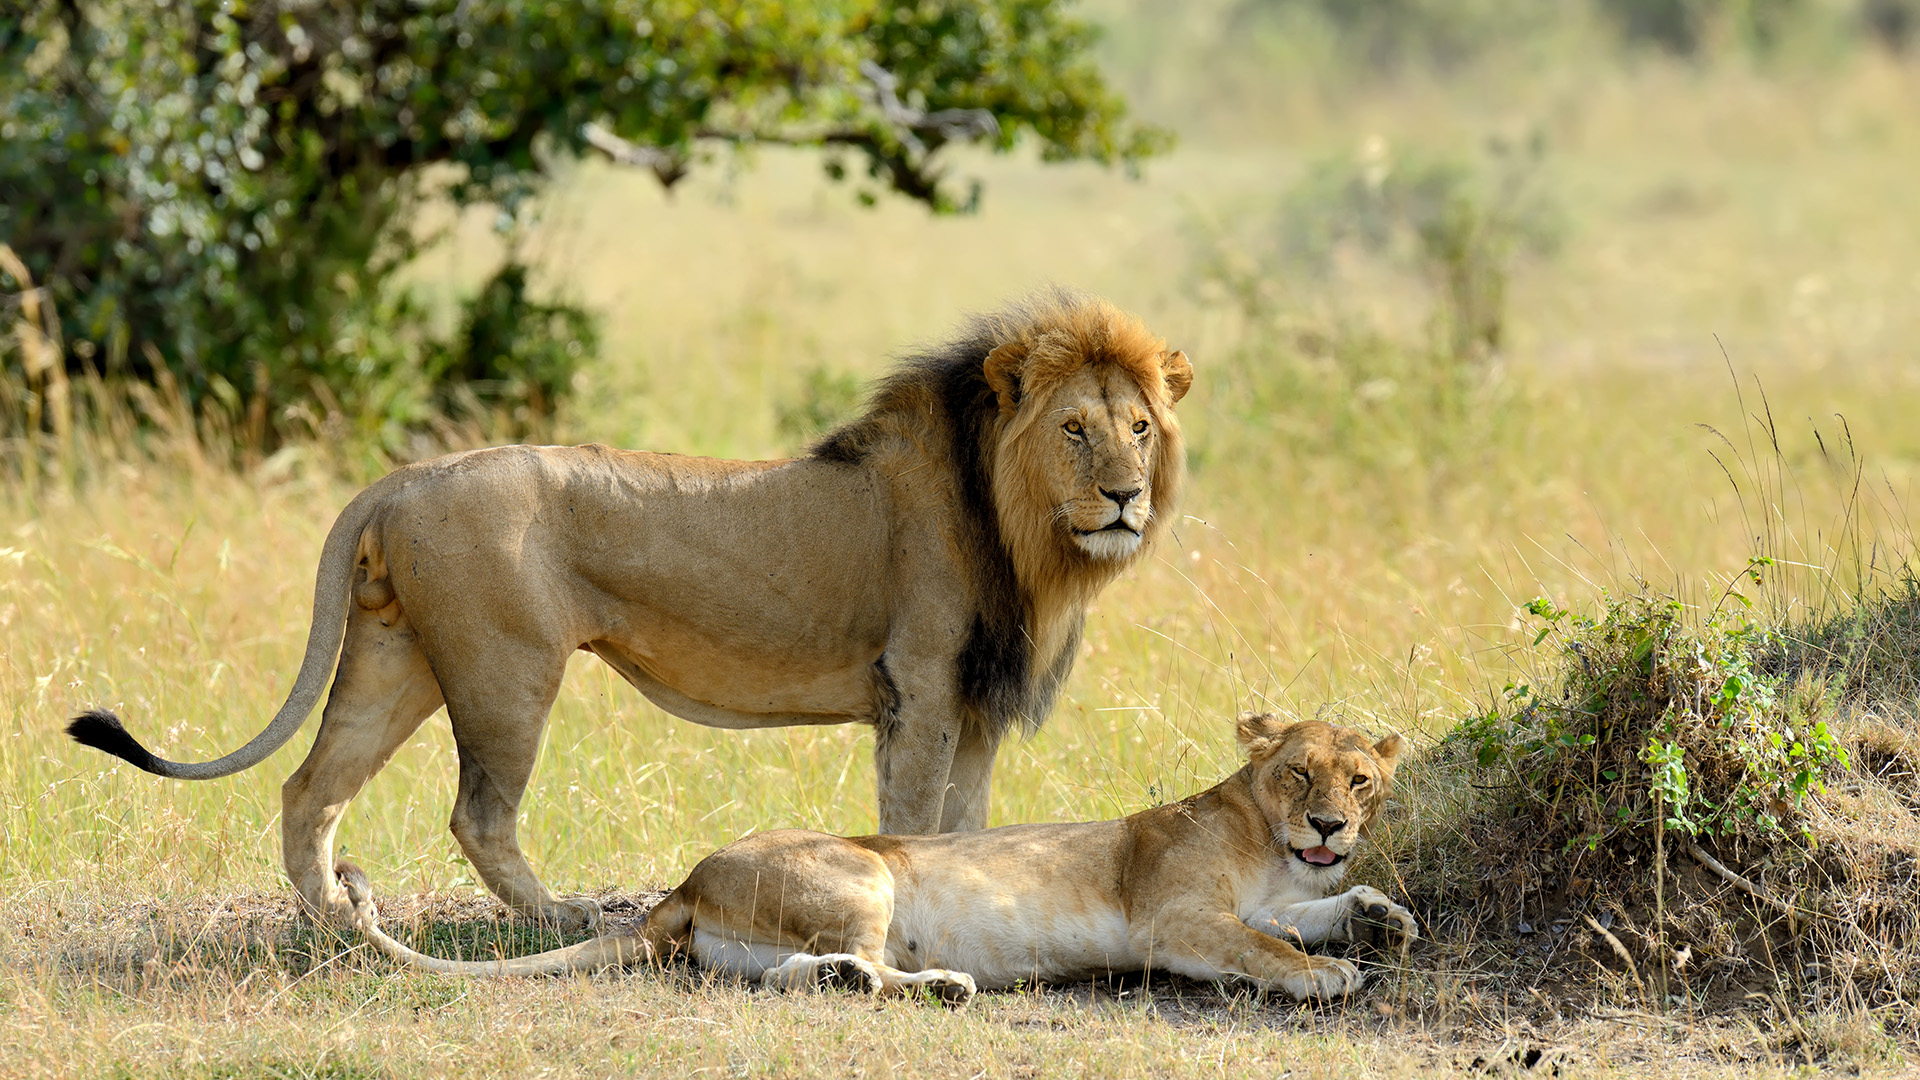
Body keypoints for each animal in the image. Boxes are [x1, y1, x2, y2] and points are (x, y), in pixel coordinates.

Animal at [68, 290, 1192, 931]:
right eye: (1077, 430)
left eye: (1140, 427)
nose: (1125, 496)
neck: (1025, 536)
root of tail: (401, 478)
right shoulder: (916, 687)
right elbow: (915, 820)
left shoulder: (977, 704)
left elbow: (969, 823)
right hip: (506, 670)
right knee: (476, 812)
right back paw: (555, 919)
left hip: (396, 657)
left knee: (310, 789)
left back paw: (336, 923)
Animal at [337, 716, 1415, 1003]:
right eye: (1298, 773)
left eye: (1360, 780)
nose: (1329, 825)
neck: (1268, 841)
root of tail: (686, 880)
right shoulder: (1173, 918)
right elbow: (1264, 947)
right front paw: (1332, 974)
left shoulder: (1277, 893)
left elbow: (1309, 912)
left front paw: (1378, 915)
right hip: (867, 874)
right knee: (874, 963)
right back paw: (941, 986)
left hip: (760, 940)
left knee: (793, 973)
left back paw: (855, 981)